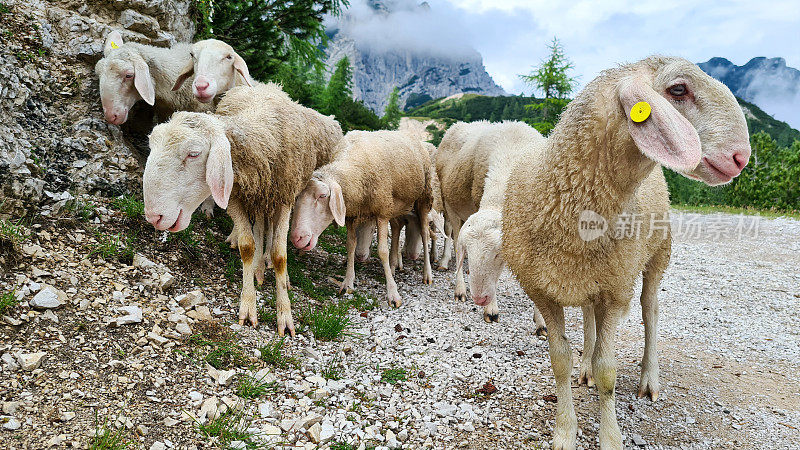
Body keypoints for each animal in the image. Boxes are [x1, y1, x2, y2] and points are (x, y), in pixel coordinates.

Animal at [142, 82, 342, 336]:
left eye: (193, 153)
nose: (154, 216)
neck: (264, 140)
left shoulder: (285, 196)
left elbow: (279, 256)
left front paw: (285, 316)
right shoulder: (236, 194)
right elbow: (247, 246)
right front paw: (248, 307)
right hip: (255, 194)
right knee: (260, 227)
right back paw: (258, 267)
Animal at [290, 130, 434, 306]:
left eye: (323, 196)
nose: (297, 238)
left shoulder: (382, 211)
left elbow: (382, 251)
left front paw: (393, 294)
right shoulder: (351, 214)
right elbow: (350, 246)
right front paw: (347, 283)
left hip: (424, 196)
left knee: (424, 233)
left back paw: (427, 274)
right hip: (396, 204)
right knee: (396, 228)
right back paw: (393, 266)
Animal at [500, 54, 752, 448]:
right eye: (678, 89)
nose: (742, 156)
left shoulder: (617, 291)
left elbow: (608, 371)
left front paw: (610, 436)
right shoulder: (541, 290)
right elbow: (559, 361)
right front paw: (565, 430)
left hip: (657, 255)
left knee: (651, 312)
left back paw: (650, 378)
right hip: (591, 279)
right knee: (589, 316)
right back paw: (585, 365)